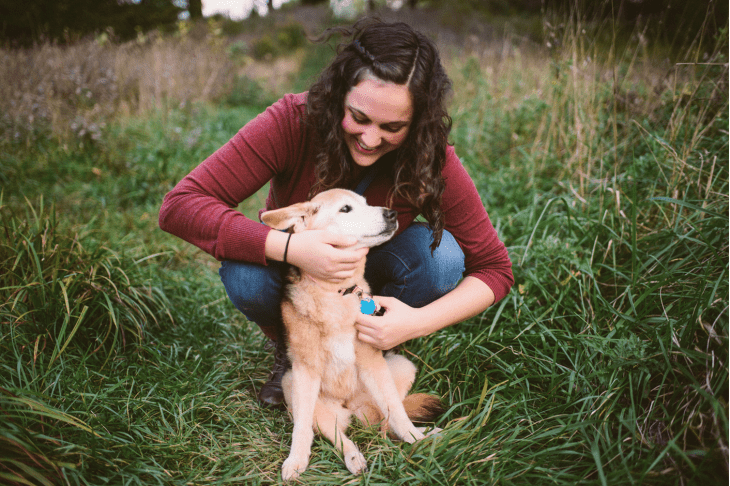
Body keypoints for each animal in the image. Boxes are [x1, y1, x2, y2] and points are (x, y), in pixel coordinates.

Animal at [264, 188, 444, 480]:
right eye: (345, 209)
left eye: (367, 203)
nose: (391, 213)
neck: (336, 293)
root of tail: (352, 407)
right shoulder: (305, 371)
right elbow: (301, 429)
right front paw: (296, 459)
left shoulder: (372, 361)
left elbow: (398, 413)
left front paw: (415, 438)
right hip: (298, 390)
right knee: (338, 436)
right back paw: (354, 458)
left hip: (400, 367)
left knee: (387, 420)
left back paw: (423, 434)